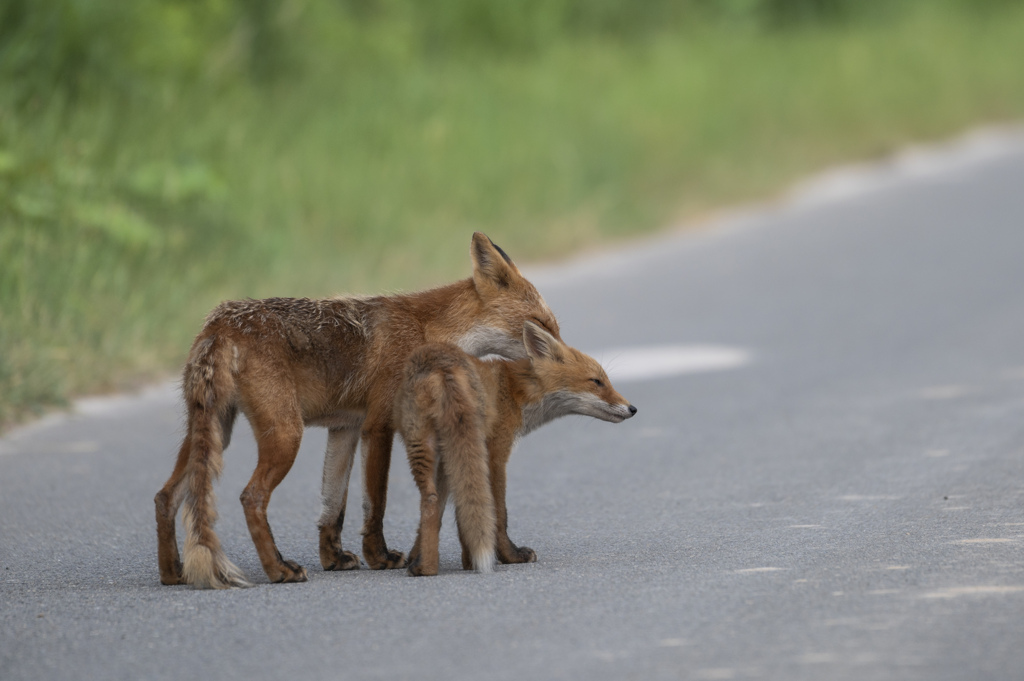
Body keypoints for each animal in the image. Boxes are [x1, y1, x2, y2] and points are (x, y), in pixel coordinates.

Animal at [155, 232, 565, 585]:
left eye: (553, 326)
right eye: (540, 324)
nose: (560, 356)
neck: (425, 329)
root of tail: (219, 323)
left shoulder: (345, 428)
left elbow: (333, 507)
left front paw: (334, 560)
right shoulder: (379, 424)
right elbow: (375, 503)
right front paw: (378, 557)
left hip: (215, 433)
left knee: (166, 496)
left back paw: (173, 574)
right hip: (286, 434)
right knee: (250, 497)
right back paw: (279, 570)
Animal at [395, 319, 634, 573]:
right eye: (597, 381)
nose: (633, 408)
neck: (512, 392)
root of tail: (441, 365)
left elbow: (461, 510)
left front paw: (464, 560)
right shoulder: (495, 454)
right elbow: (498, 512)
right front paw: (509, 555)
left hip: (427, 446)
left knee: (430, 500)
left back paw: (424, 568)